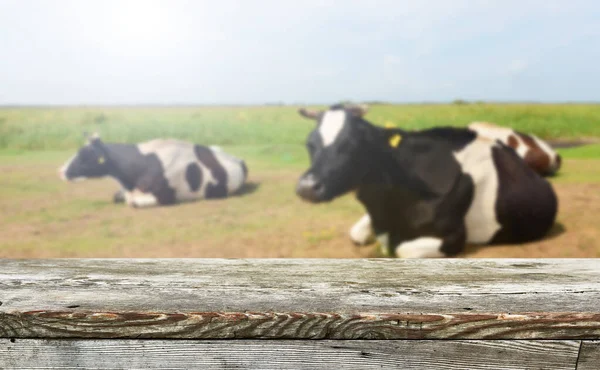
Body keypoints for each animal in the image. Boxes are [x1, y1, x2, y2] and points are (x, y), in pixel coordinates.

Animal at [59, 134, 247, 208]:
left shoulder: (166, 196)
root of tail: (238, 159)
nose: (60, 171)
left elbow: (133, 204)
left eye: (83, 155)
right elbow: (117, 197)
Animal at [296, 104, 556, 258]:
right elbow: (357, 234)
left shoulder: (454, 236)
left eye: (354, 143)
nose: (307, 187)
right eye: (309, 144)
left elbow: (401, 250)